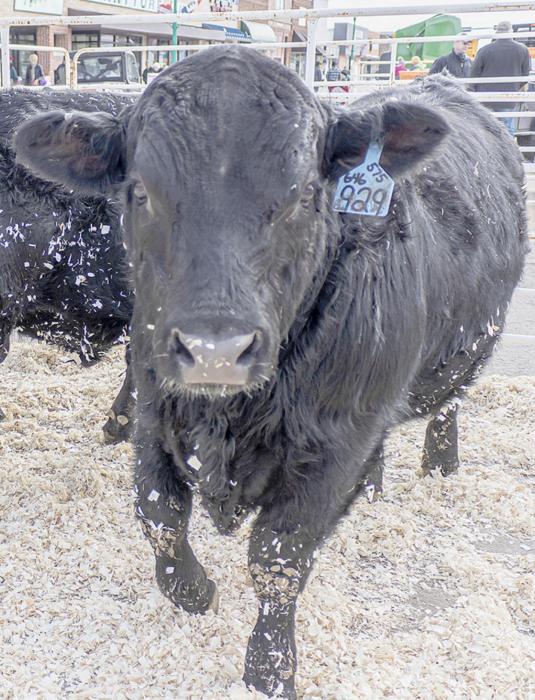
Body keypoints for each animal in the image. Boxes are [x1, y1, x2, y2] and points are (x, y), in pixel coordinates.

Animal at [14, 47, 528, 698]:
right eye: (140, 192)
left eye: (305, 193)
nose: (214, 349)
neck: (227, 418)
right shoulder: (153, 407)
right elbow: (159, 516)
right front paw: (196, 591)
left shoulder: (336, 444)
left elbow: (279, 558)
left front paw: (268, 667)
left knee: (448, 404)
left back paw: (441, 465)